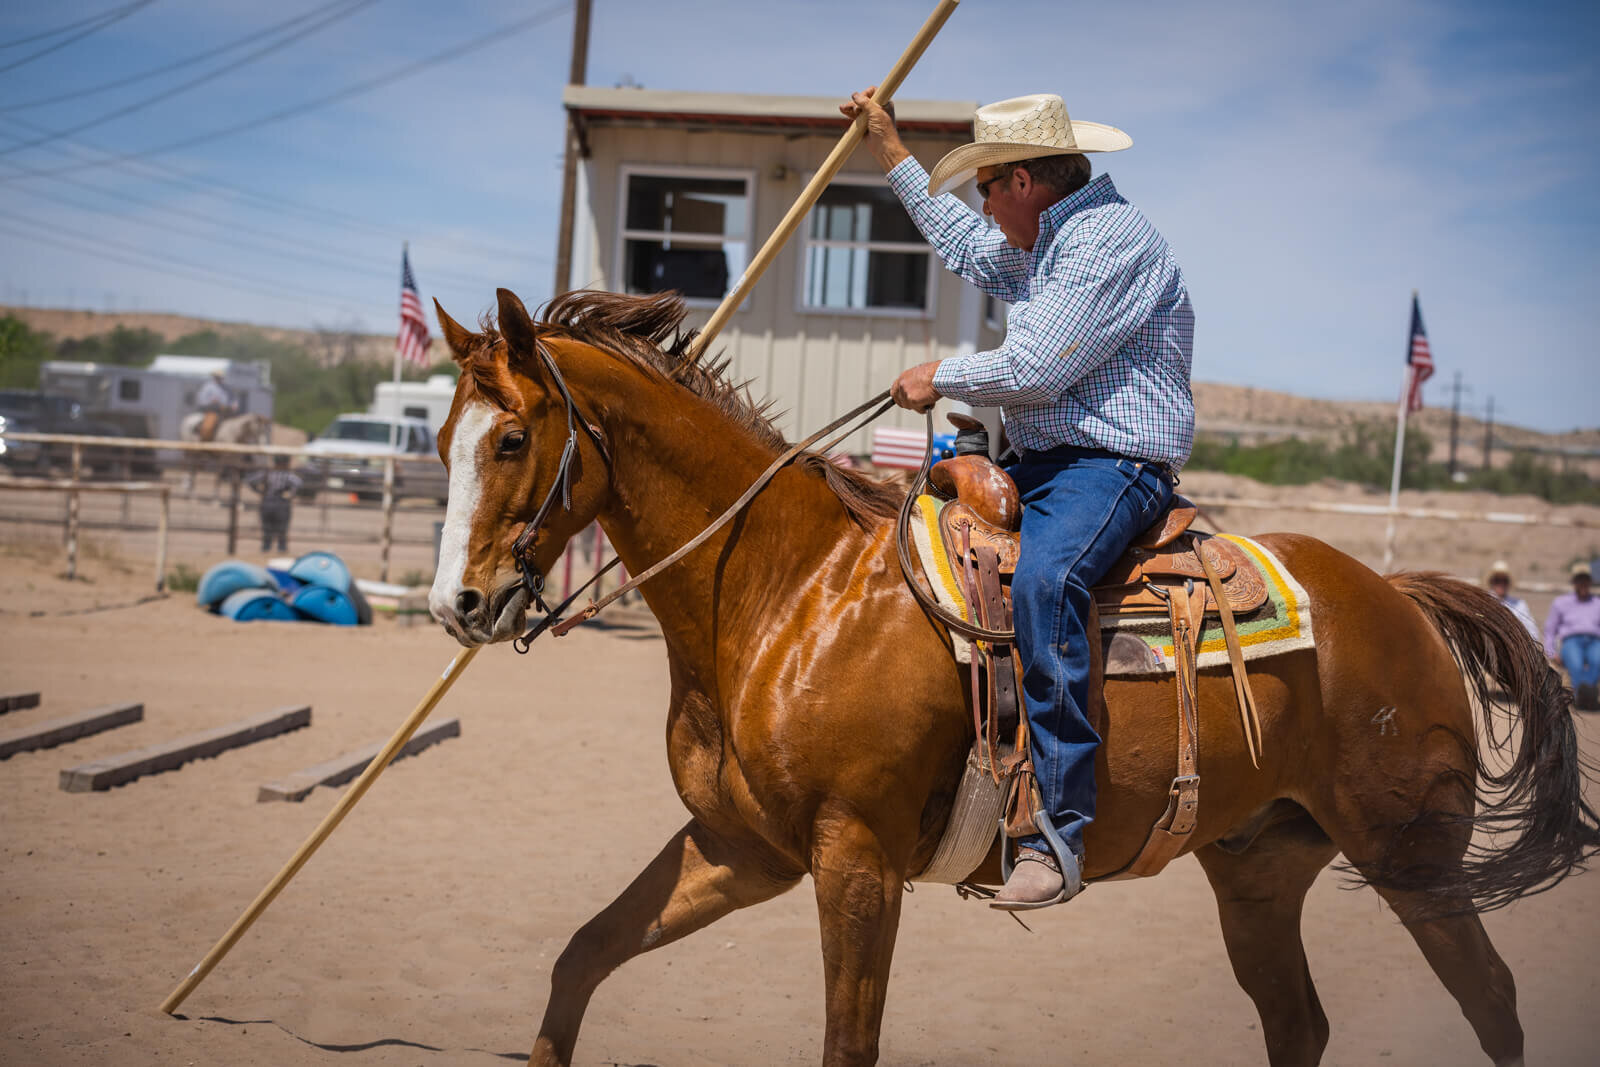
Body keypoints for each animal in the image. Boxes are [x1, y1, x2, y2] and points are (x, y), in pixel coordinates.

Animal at [432, 287, 1593, 1062]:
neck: (785, 589)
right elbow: (582, 955)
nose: (460, 603)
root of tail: (1399, 595)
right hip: (1260, 865)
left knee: (1492, 1001)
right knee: (1298, 1021)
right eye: (443, 436)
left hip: (1411, 857)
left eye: (513, 439)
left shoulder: (854, 860)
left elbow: (846, 1042)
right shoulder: (741, 847)